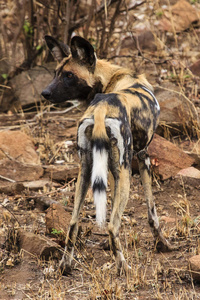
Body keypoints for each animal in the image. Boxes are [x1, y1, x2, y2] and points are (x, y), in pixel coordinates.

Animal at [41, 35, 173, 274]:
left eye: (68, 75)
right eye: (58, 74)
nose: (44, 93)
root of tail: (102, 108)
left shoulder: (110, 171)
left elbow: (109, 206)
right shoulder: (143, 157)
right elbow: (152, 212)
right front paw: (162, 244)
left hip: (85, 172)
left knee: (73, 222)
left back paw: (66, 266)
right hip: (126, 173)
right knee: (112, 226)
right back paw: (124, 268)